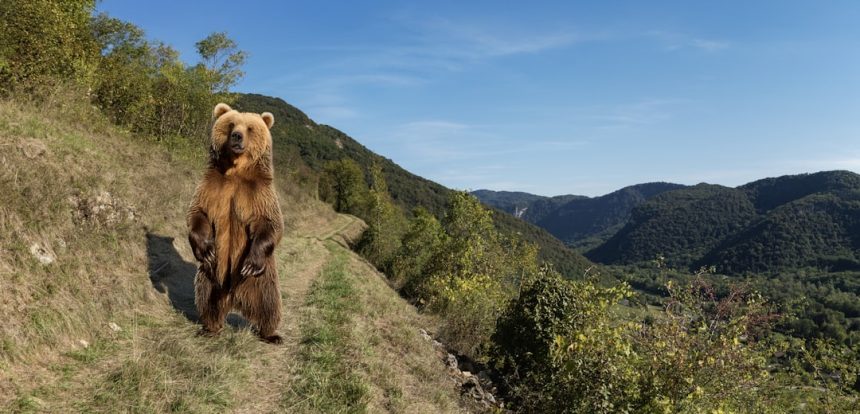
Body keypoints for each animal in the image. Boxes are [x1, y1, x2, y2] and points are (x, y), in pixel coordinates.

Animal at [187, 102, 284, 343]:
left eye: (250, 127)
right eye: (231, 124)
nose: (237, 136)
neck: (235, 171)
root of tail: (234, 298)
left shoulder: (258, 194)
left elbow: (270, 224)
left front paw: (251, 261)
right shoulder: (213, 187)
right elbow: (198, 213)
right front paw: (205, 248)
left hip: (261, 280)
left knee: (269, 304)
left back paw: (271, 334)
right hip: (211, 276)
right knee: (206, 299)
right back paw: (209, 327)